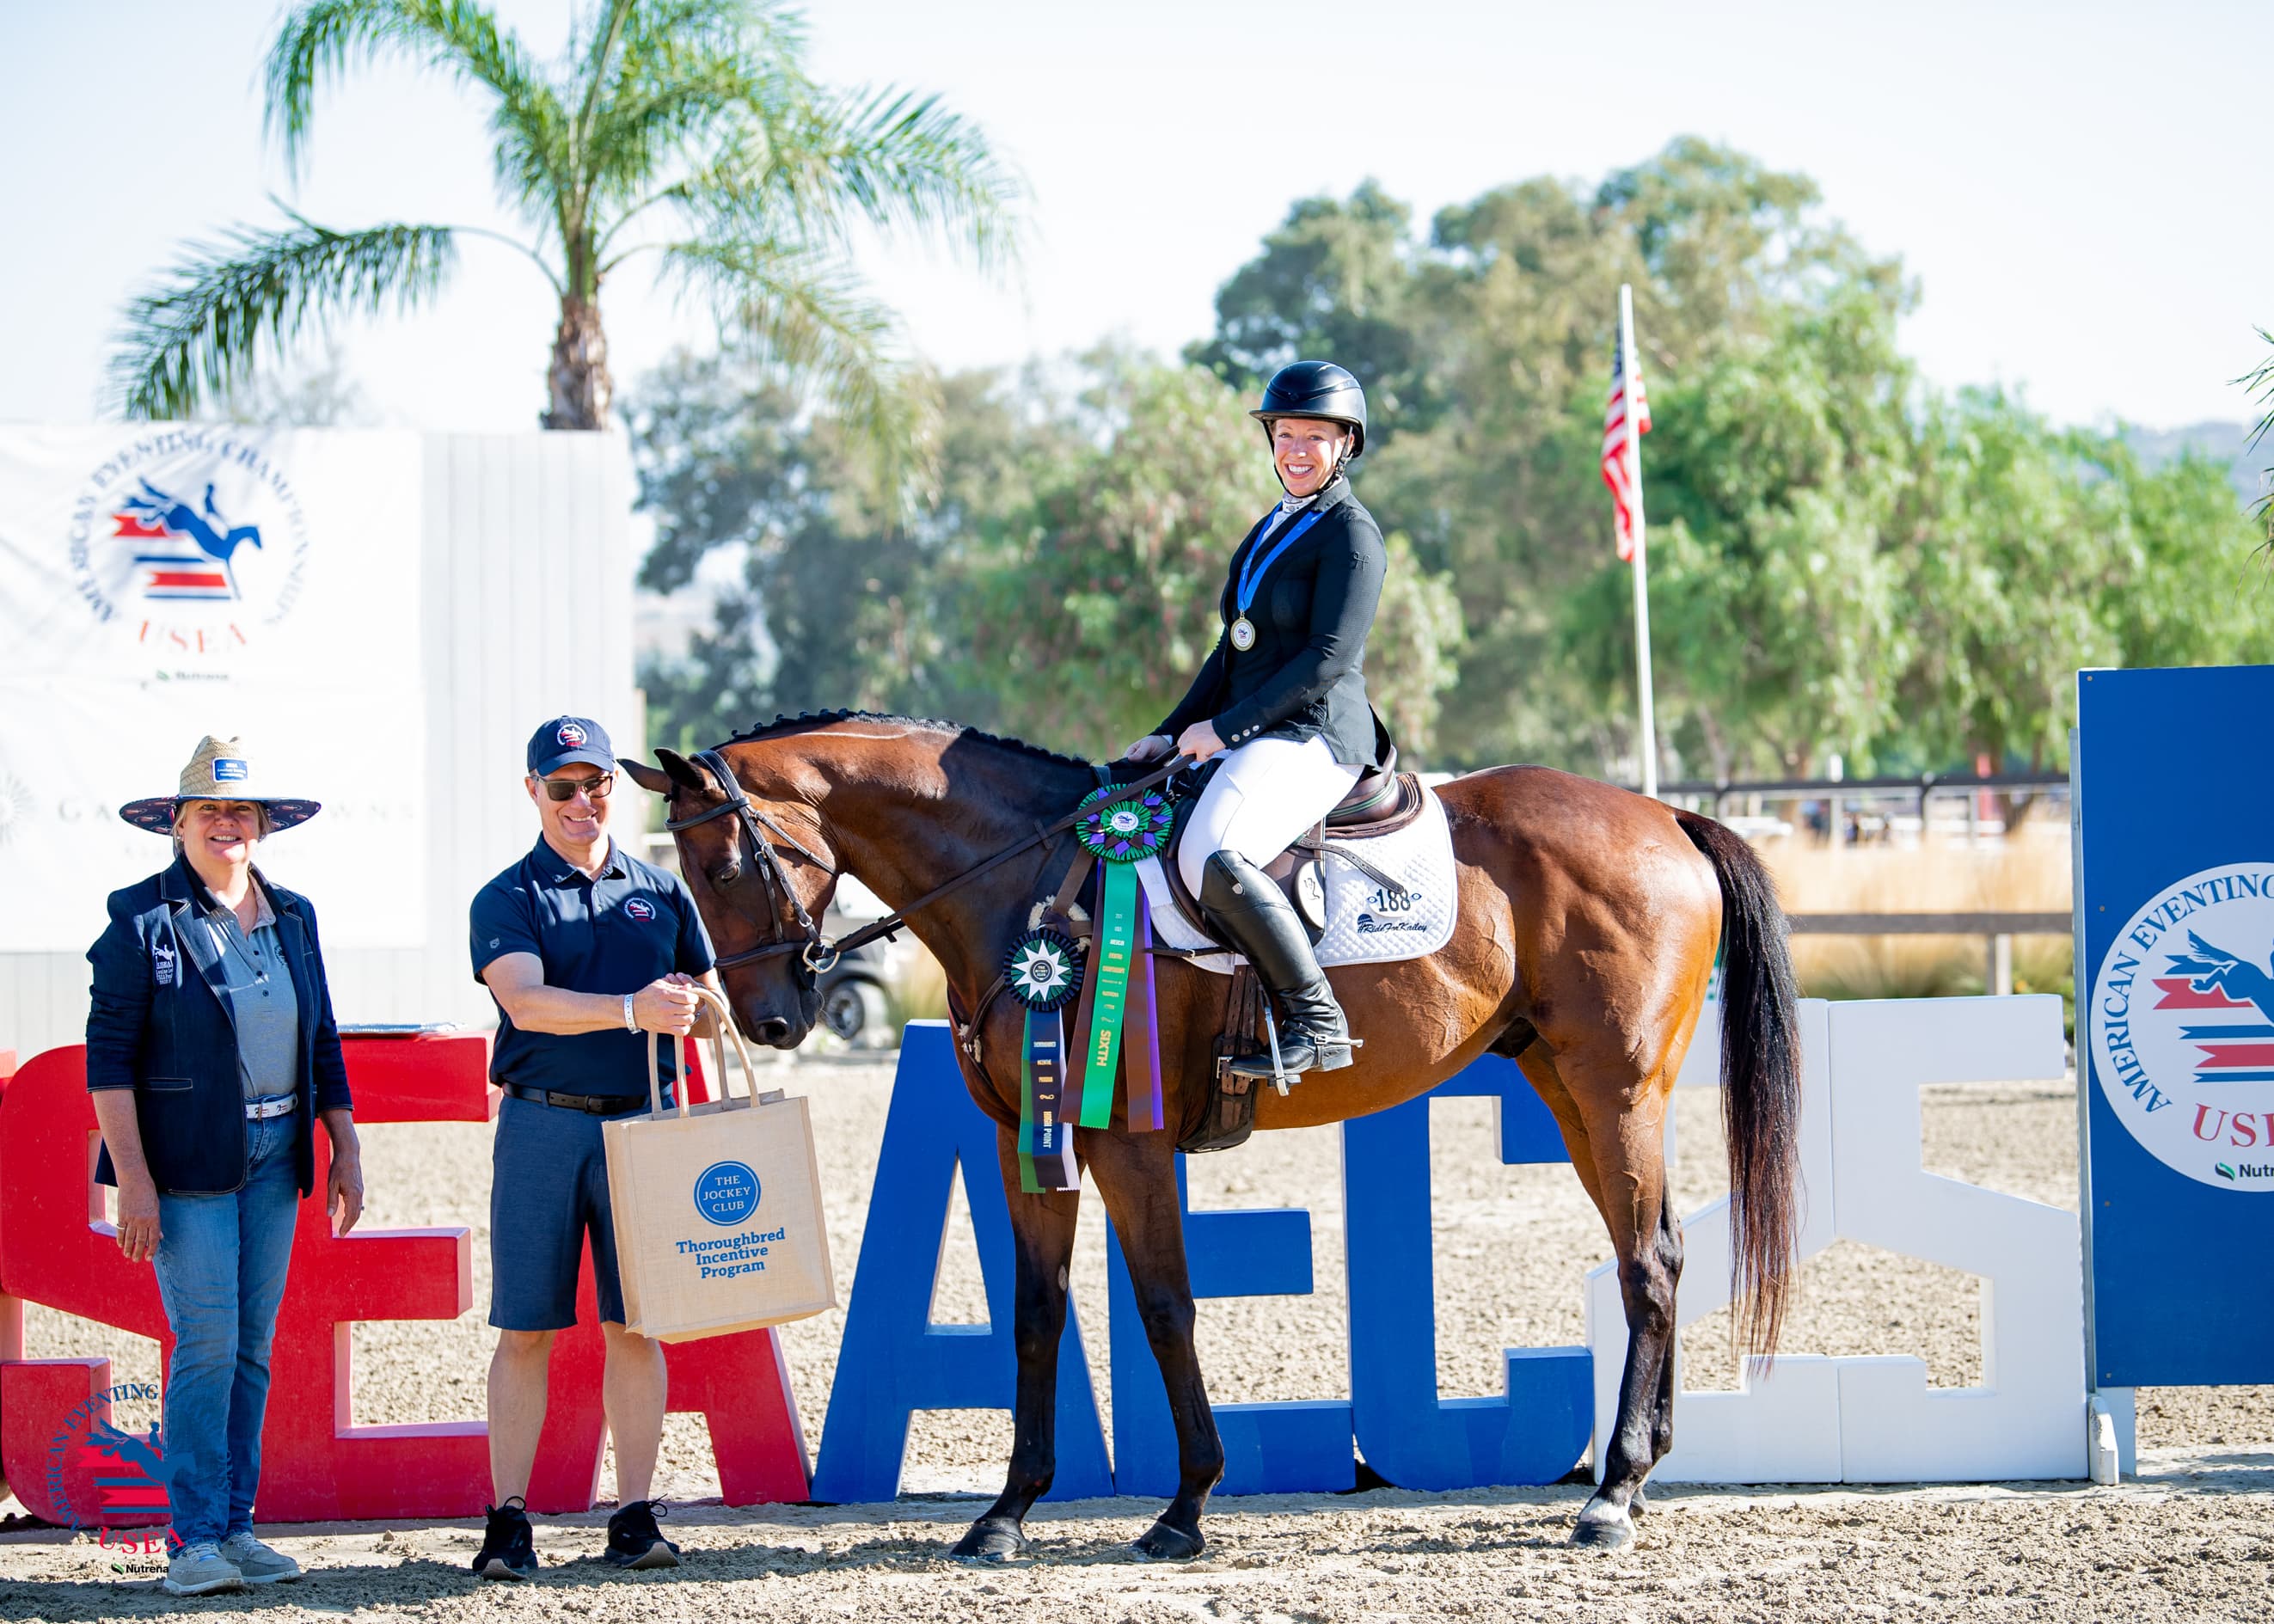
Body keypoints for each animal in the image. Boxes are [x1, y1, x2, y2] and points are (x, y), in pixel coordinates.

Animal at [623, 711, 1802, 1557]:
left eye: (723, 869)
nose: (771, 1022)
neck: (1027, 883)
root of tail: (1666, 818)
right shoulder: (1025, 1140)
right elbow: (1037, 1315)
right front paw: (1004, 1513)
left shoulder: (1126, 1141)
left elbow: (1163, 1308)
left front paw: (1183, 1505)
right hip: (1565, 1085)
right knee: (1653, 1252)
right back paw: (1635, 1471)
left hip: (1615, 1088)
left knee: (1644, 1261)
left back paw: (1610, 1493)